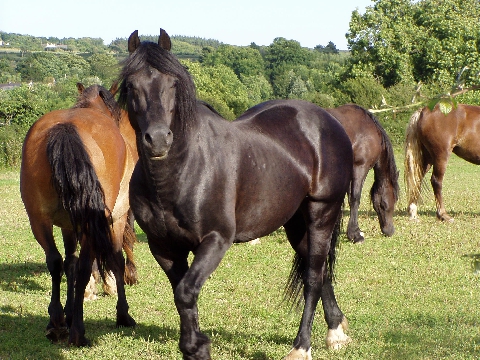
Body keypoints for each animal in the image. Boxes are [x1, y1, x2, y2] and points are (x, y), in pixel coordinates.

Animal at [21, 82, 140, 346]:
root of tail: (66, 128)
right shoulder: (116, 219)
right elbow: (116, 260)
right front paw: (123, 314)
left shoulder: (67, 225)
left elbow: (70, 264)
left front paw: (67, 312)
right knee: (86, 266)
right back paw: (78, 331)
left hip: (39, 220)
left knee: (55, 261)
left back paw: (56, 323)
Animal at [119, 28, 352, 360]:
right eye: (131, 85)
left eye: (172, 84)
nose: (159, 139)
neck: (180, 172)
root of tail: (328, 122)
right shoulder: (163, 246)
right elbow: (182, 294)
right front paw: (194, 347)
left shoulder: (216, 240)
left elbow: (186, 292)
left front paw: (197, 347)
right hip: (296, 223)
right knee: (317, 270)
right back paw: (335, 331)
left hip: (322, 212)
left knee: (312, 278)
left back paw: (301, 346)